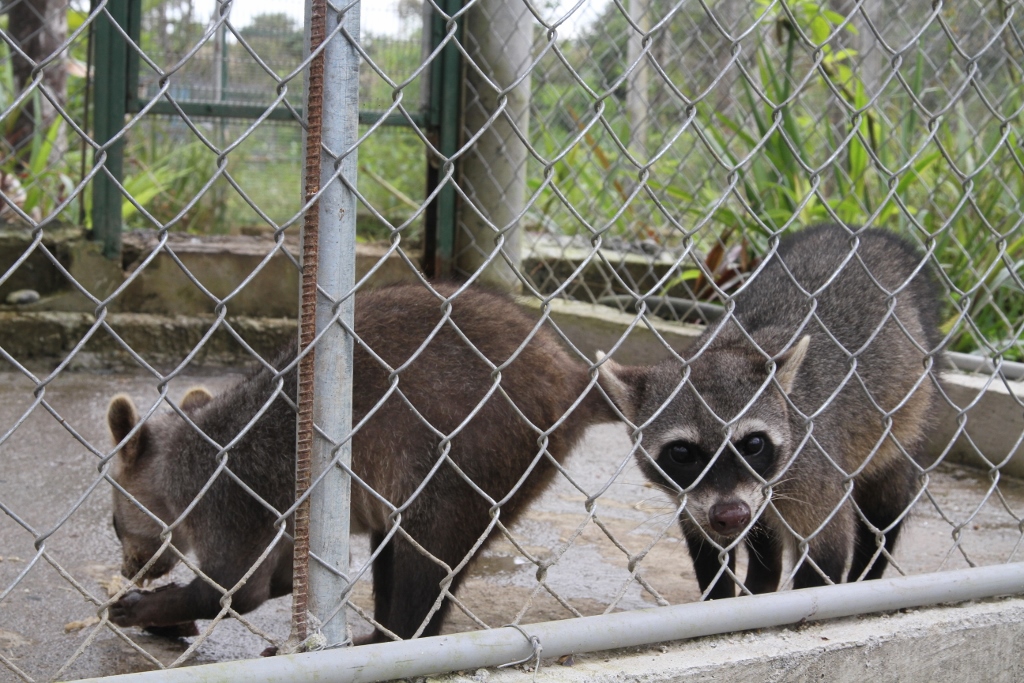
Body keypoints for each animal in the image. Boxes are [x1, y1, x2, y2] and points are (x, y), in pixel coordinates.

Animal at [103, 282, 618, 643]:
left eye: (112, 522)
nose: (130, 569)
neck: (185, 451)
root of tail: (567, 374)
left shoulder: (231, 496)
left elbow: (233, 590)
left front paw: (155, 605)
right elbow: (281, 579)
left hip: (471, 455)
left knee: (423, 554)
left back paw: (399, 635)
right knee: (392, 541)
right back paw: (380, 632)